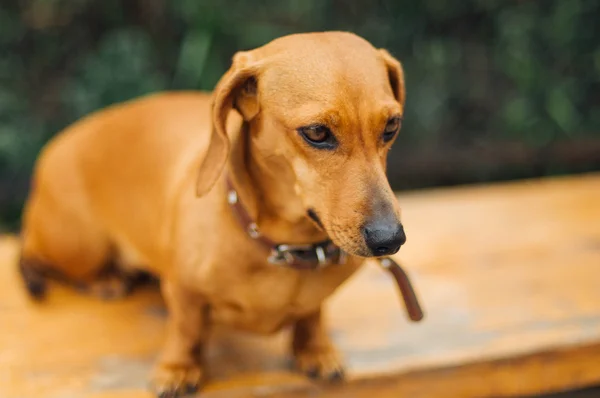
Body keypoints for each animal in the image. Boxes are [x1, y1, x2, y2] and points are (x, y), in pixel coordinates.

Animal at [17, 31, 408, 398]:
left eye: (392, 126)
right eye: (316, 132)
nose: (390, 239)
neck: (282, 248)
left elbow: (312, 315)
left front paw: (316, 350)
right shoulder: (184, 292)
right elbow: (186, 330)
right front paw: (177, 369)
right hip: (78, 246)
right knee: (40, 258)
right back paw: (104, 280)